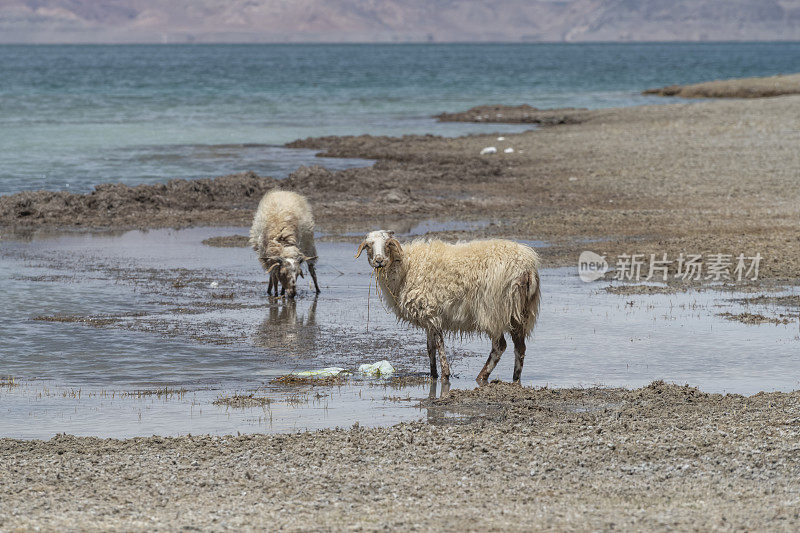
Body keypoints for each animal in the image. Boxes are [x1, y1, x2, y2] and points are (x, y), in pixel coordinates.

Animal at [358, 229, 540, 382]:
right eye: (368, 246)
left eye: (388, 244)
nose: (379, 261)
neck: (405, 267)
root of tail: (527, 268)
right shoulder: (427, 316)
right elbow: (430, 348)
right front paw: (433, 375)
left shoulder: (432, 313)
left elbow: (439, 345)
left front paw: (445, 374)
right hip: (520, 311)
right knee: (520, 347)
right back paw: (515, 378)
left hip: (493, 310)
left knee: (499, 346)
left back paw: (481, 377)